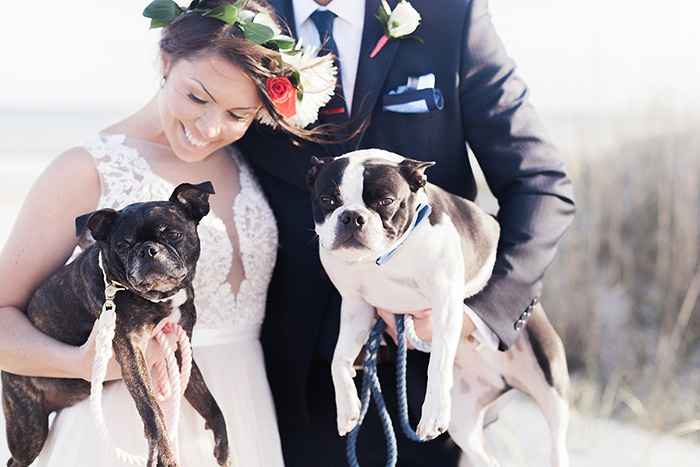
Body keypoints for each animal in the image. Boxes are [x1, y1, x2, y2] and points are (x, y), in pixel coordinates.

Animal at [306, 151, 568, 467]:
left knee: (558, 441)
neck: (382, 258)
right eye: (327, 200)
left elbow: (440, 360)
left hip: (552, 382)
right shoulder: (358, 309)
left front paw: (432, 412)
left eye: (386, 201)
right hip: (464, 424)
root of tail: (502, 380)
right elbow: (339, 359)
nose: (351, 216)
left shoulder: (445, 303)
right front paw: (347, 408)